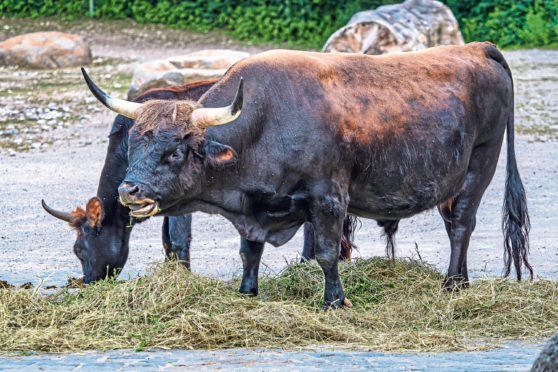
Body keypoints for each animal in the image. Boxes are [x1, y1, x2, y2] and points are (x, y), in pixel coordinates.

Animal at [84, 42, 532, 308]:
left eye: (175, 151)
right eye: (132, 146)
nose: (128, 189)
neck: (266, 119)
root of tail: (477, 48)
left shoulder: (328, 198)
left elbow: (326, 253)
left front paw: (335, 300)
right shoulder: (253, 204)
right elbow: (249, 252)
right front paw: (248, 291)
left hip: (480, 165)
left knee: (461, 225)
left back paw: (452, 285)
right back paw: (462, 281)